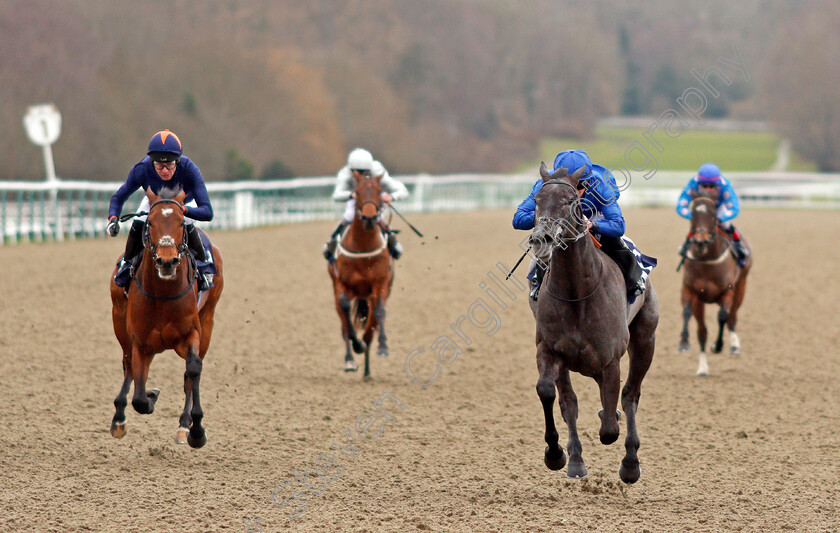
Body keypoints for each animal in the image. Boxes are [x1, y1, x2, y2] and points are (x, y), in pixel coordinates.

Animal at [110, 187, 225, 444]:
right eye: (150, 223)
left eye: (182, 222)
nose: (167, 261)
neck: (162, 294)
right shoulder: (141, 342)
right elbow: (139, 398)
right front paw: (150, 396)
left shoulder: (191, 333)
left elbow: (193, 369)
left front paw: (196, 430)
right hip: (119, 320)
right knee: (127, 364)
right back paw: (119, 418)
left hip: (209, 319)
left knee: (190, 374)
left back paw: (184, 425)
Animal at [328, 171, 394, 378]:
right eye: (356, 191)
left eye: (380, 191)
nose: (369, 218)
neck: (363, 246)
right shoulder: (341, 284)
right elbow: (346, 317)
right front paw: (356, 346)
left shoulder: (380, 284)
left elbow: (377, 317)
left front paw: (380, 346)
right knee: (344, 324)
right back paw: (350, 360)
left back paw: (368, 367)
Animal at [528, 162, 660, 482]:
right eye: (537, 200)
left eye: (570, 202)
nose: (541, 239)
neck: (577, 294)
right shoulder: (549, 349)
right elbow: (551, 393)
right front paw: (556, 454)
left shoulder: (610, 359)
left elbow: (610, 427)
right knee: (572, 403)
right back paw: (576, 459)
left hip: (645, 339)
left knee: (630, 395)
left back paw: (630, 463)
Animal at [680, 192, 752, 374]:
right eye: (693, 213)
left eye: (713, 215)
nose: (700, 241)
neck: (708, 260)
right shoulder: (692, 291)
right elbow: (690, 316)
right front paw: (684, 343)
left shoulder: (727, 291)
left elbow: (722, 317)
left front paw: (718, 346)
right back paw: (703, 367)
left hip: (741, 287)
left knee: (732, 317)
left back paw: (734, 346)